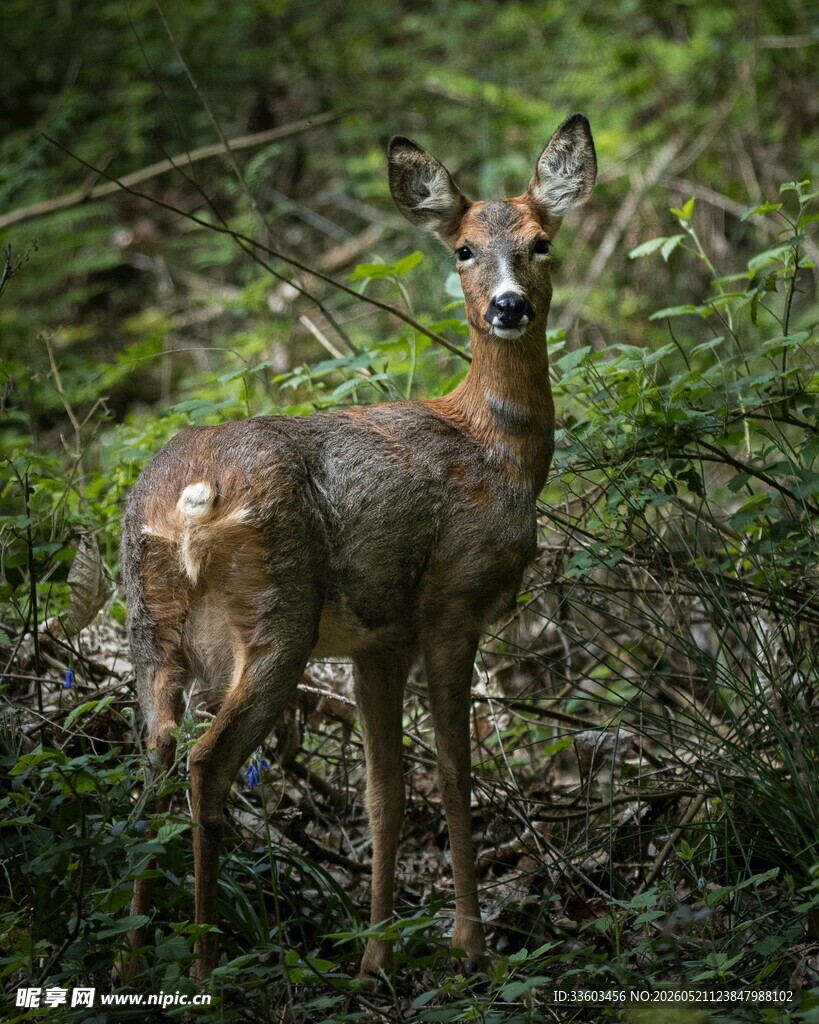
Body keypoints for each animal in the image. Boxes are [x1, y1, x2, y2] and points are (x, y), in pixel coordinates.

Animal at [121, 113, 597, 982]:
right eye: (462, 249)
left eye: (541, 242)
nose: (509, 305)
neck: (494, 448)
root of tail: (191, 499)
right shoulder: (450, 602)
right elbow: (452, 774)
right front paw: (469, 946)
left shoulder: (377, 639)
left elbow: (385, 791)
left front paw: (376, 956)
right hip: (277, 612)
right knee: (206, 760)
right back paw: (205, 965)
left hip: (151, 618)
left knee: (156, 753)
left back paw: (131, 960)